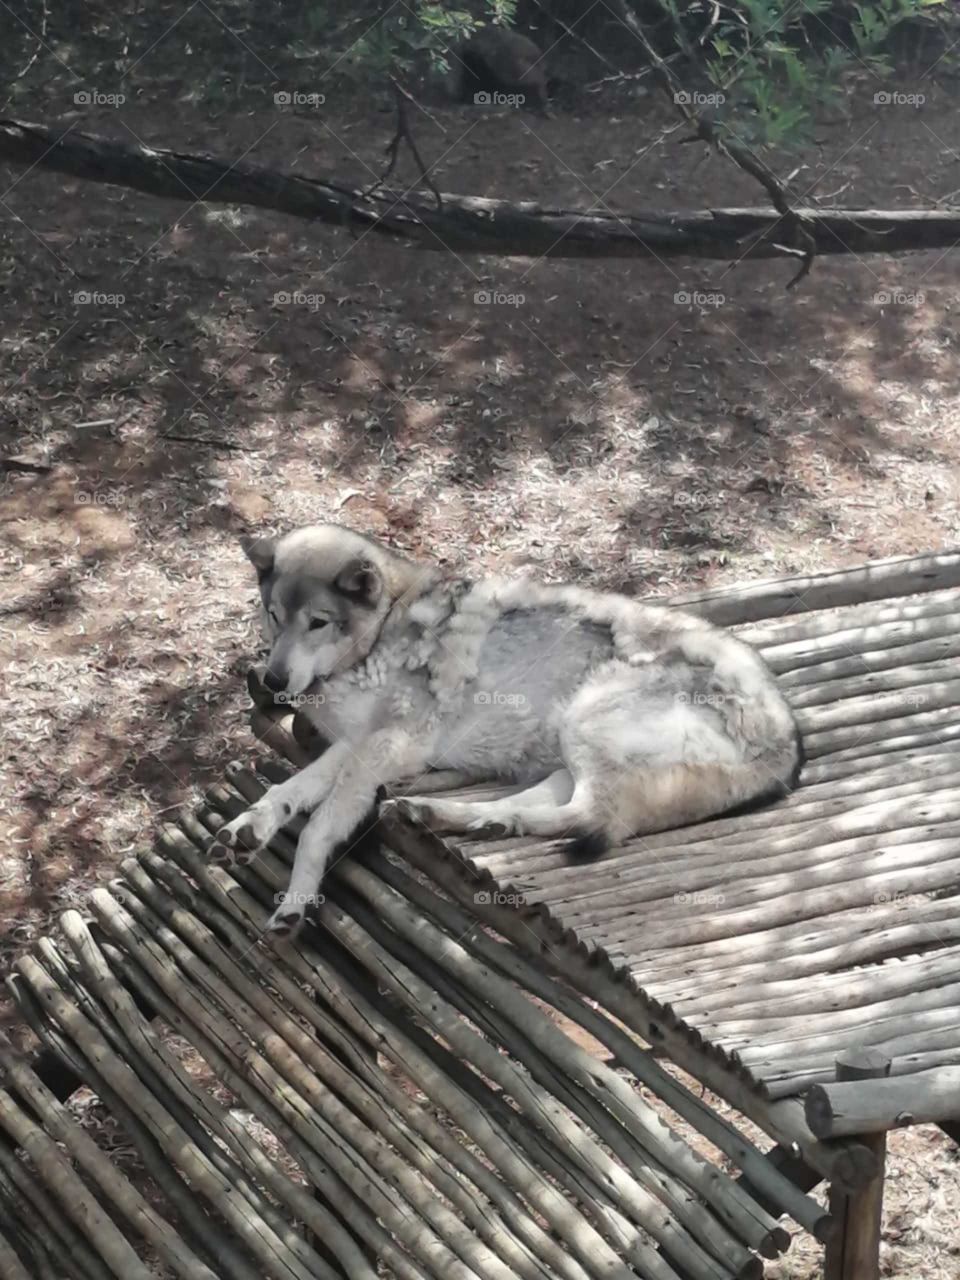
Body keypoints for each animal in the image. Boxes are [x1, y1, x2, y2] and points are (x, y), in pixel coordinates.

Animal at [211, 524, 802, 938]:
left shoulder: (387, 747)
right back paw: (456, 817)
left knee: (597, 817)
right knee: (553, 806)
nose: (274, 679)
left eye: (318, 622)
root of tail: (785, 736)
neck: (380, 634)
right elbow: (286, 792)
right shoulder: (357, 747)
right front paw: (248, 830)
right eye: (273, 615)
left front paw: (294, 905)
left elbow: (316, 827)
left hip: (586, 720)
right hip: (568, 750)